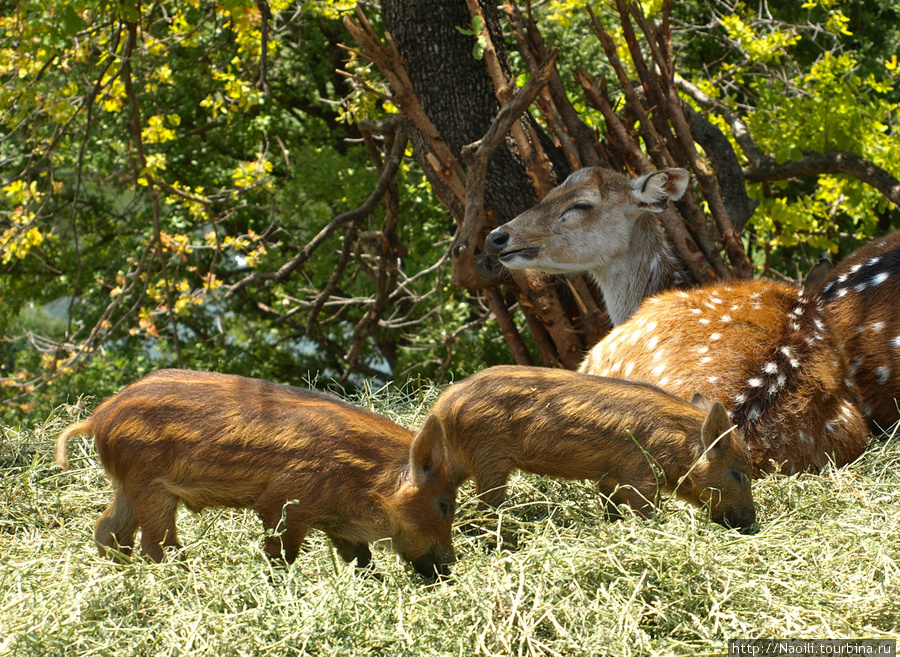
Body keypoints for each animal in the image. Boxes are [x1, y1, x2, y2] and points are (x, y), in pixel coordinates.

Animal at [56, 368, 458, 580]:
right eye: (443, 505)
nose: (450, 567)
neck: (365, 478)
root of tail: (99, 418)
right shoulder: (282, 503)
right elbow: (282, 553)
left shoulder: (338, 523)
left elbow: (360, 558)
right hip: (150, 488)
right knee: (155, 544)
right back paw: (187, 579)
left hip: (127, 487)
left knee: (108, 531)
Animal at [418, 366, 756, 532]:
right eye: (739, 474)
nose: (752, 524)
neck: (674, 442)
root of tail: (440, 408)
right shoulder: (640, 474)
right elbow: (647, 509)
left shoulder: (609, 476)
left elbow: (609, 506)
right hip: (490, 462)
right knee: (487, 509)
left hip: (462, 463)